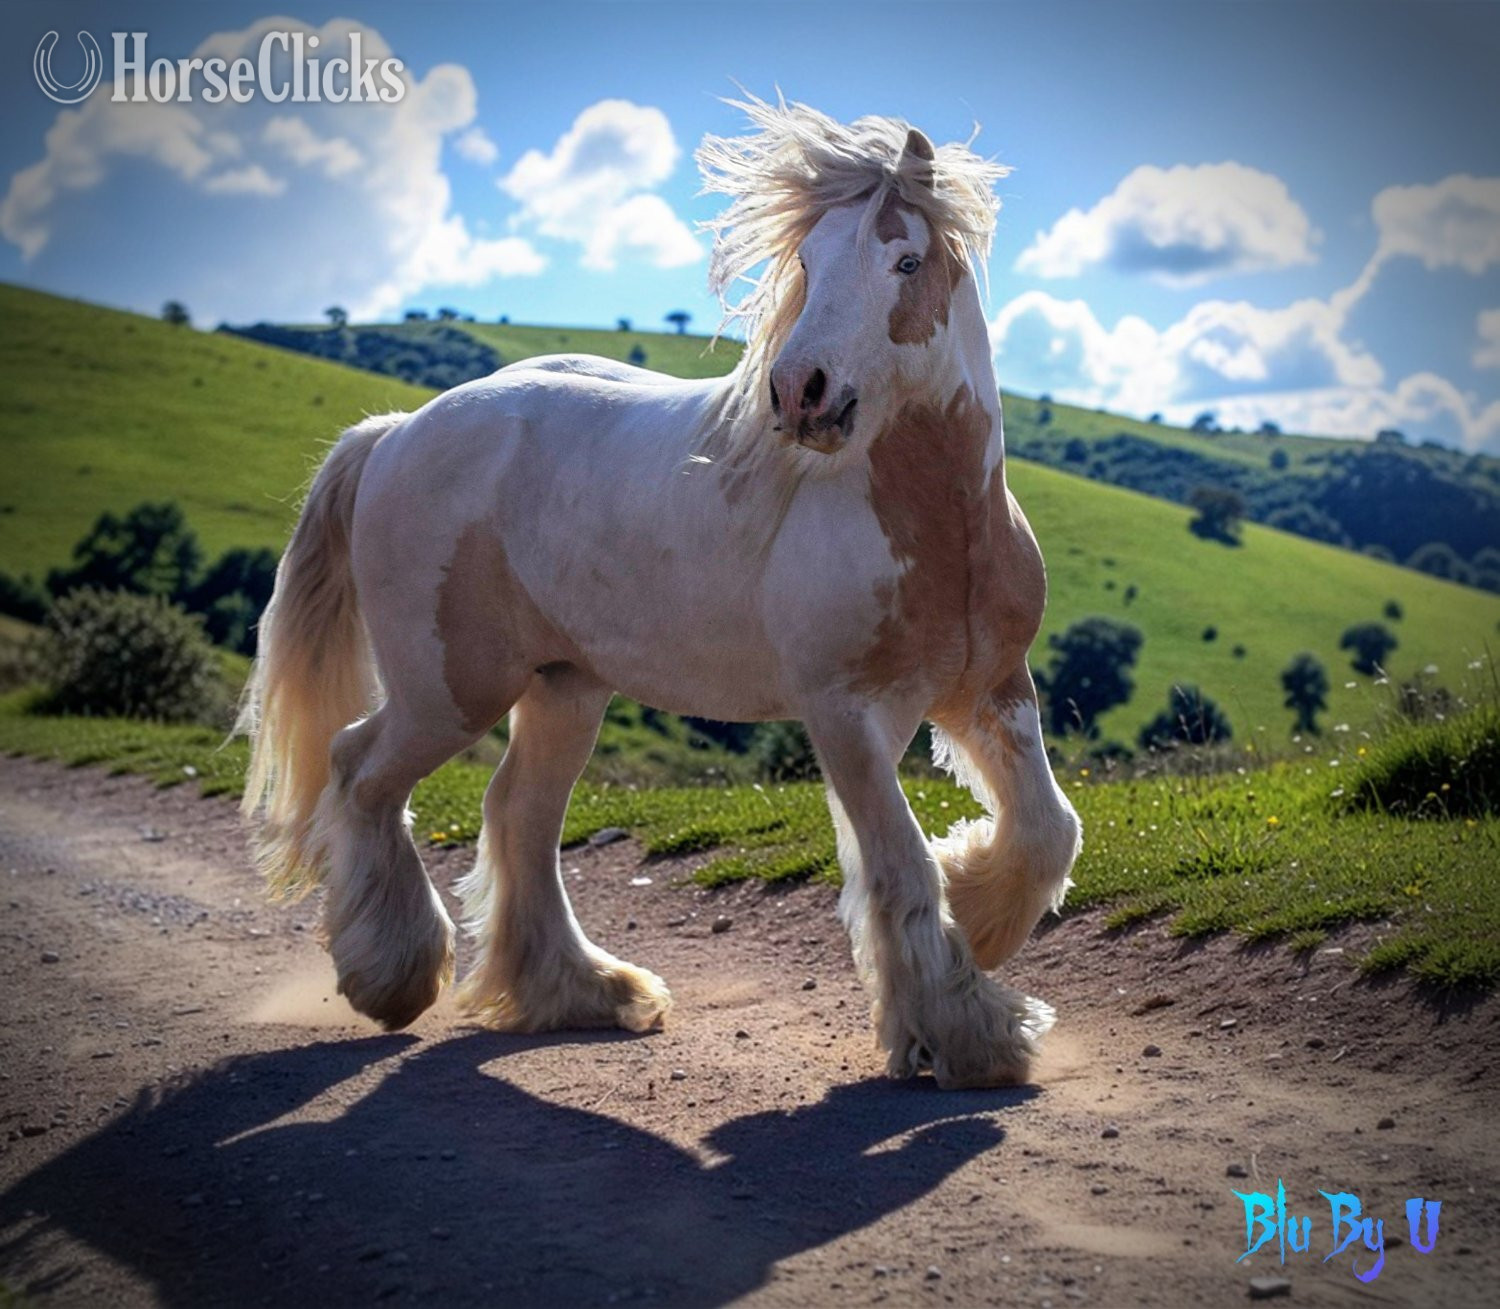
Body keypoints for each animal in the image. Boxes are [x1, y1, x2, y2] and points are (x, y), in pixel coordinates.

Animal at [239, 97, 1082, 1089]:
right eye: (808, 260)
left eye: (906, 261)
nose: (800, 391)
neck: (939, 522)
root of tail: (397, 429)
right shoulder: (844, 712)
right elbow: (902, 864)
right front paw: (966, 1029)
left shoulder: (988, 689)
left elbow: (1046, 831)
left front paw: (977, 916)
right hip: (448, 689)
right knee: (359, 769)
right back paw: (395, 976)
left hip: (563, 687)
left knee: (517, 815)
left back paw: (585, 991)